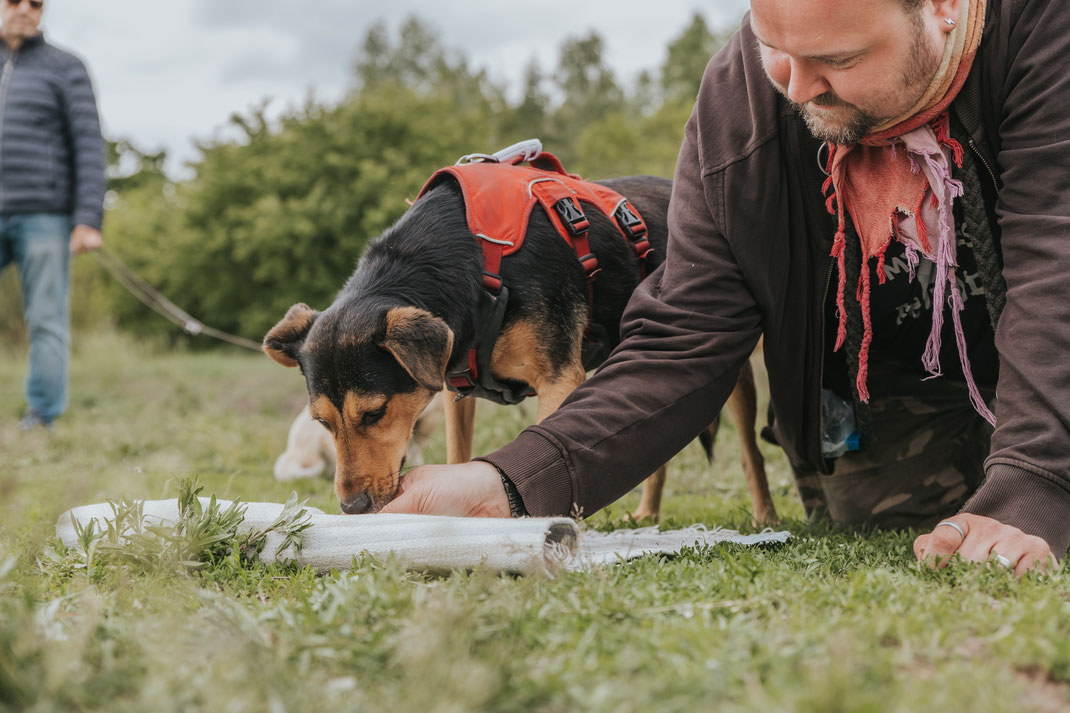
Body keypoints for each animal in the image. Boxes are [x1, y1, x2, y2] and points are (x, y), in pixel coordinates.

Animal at [263, 163, 774, 520]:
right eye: (321, 422)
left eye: (374, 413)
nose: (352, 509)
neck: (472, 259)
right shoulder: (455, 390)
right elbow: (458, 456)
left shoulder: (558, 379)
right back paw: (647, 512)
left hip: (736, 376)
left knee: (751, 454)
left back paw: (765, 516)